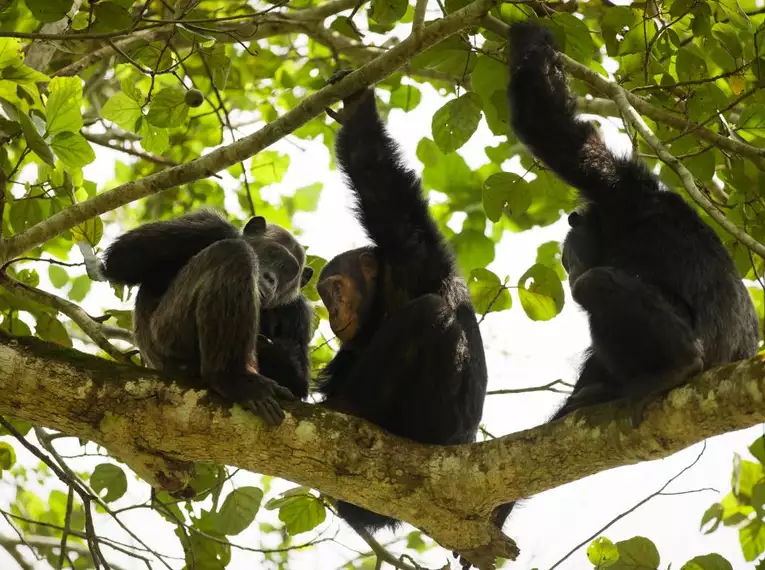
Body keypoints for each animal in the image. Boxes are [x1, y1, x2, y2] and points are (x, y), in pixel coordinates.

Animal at [100, 211, 314, 424]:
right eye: (272, 253)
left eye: (288, 270)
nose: (271, 278)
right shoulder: (206, 226)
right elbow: (122, 256)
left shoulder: (299, 312)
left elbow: (298, 384)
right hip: (166, 334)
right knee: (234, 252)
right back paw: (232, 379)